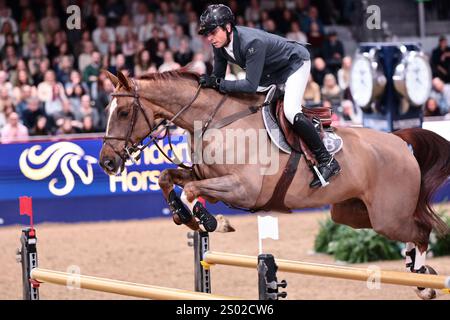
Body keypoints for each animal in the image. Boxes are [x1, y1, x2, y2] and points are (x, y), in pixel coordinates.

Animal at [100, 70, 448, 300]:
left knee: (421, 230)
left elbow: (192, 191)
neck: (214, 121)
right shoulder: (204, 174)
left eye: (124, 112)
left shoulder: (243, 189)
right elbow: (168, 178)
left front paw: (207, 220)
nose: (106, 162)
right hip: (352, 213)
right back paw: (419, 275)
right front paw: (183, 215)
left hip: (387, 216)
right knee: (413, 230)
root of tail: (399, 142)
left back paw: (424, 281)